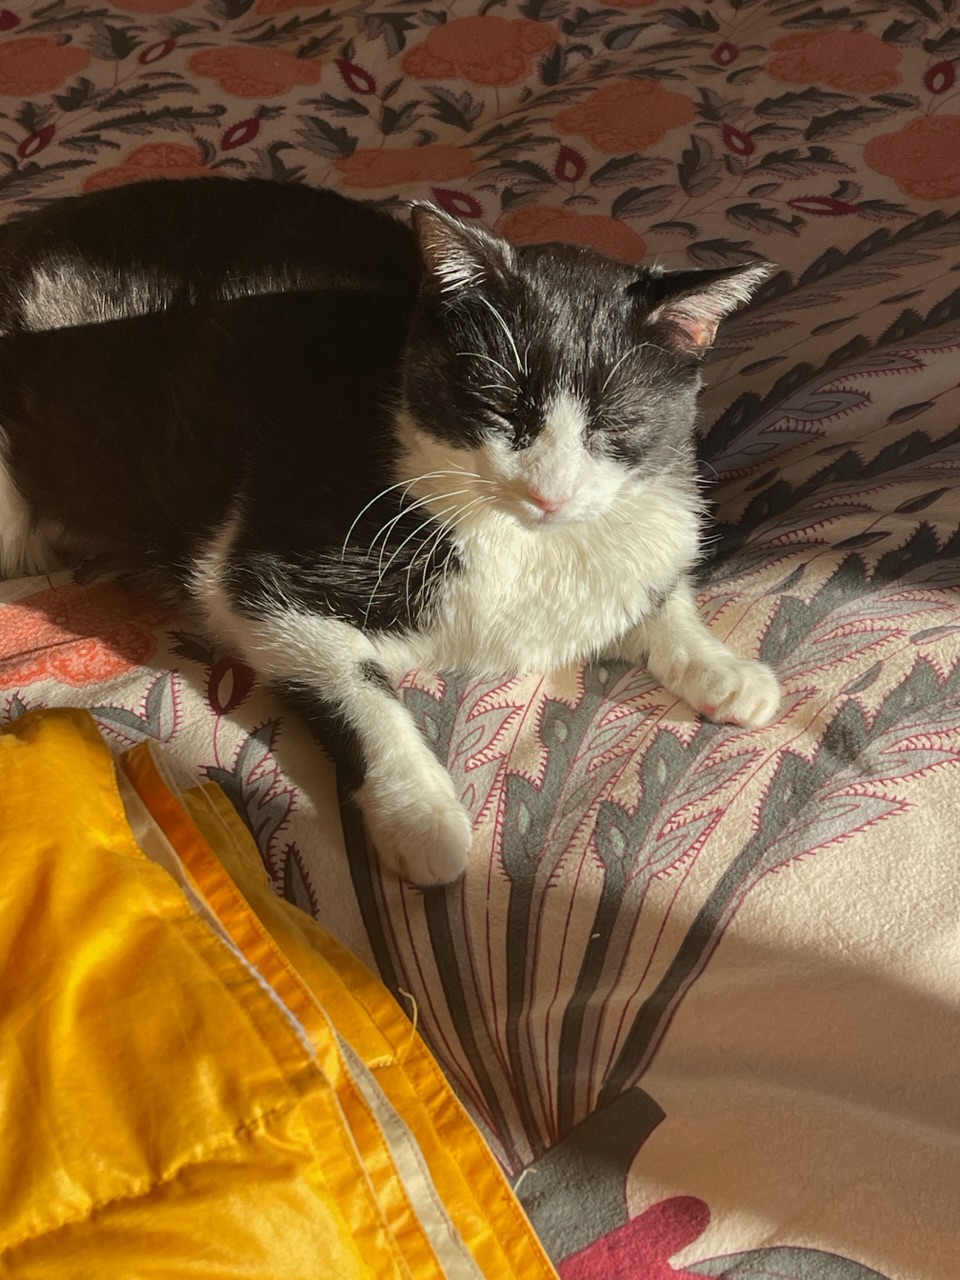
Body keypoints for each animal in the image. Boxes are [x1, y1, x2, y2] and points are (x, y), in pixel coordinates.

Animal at [0, 176, 780, 885]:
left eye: (617, 420)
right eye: (499, 405)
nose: (547, 493)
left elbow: (653, 589)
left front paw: (721, 668)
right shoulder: (261, 569)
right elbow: (359, 691)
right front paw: (423, 817)